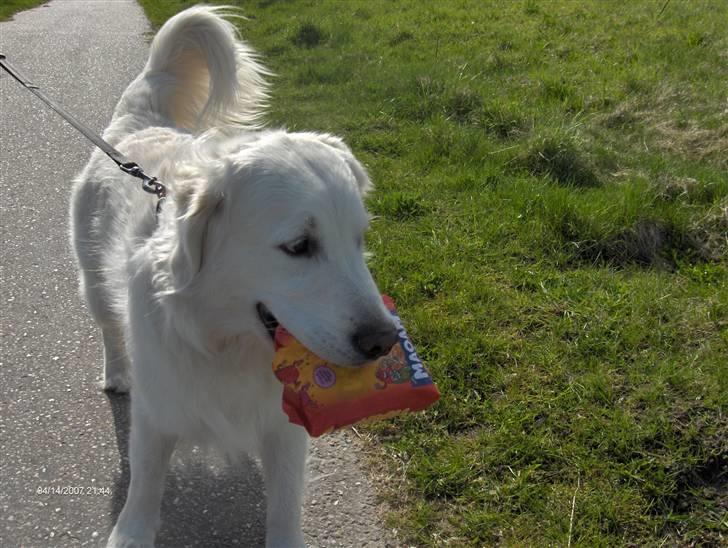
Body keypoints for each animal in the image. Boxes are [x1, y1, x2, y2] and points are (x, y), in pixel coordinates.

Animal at [70, 6, 396, 544]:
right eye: (299, 247)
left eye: (359, 239)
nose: (383, 342)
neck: (224, 343)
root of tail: (142, 123)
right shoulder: (157, 407)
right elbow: (145, 481)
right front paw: (131, 532)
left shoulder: (284, 427)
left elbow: (284, 505)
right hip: (92, 282)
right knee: (108, 330)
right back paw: (116, 372)